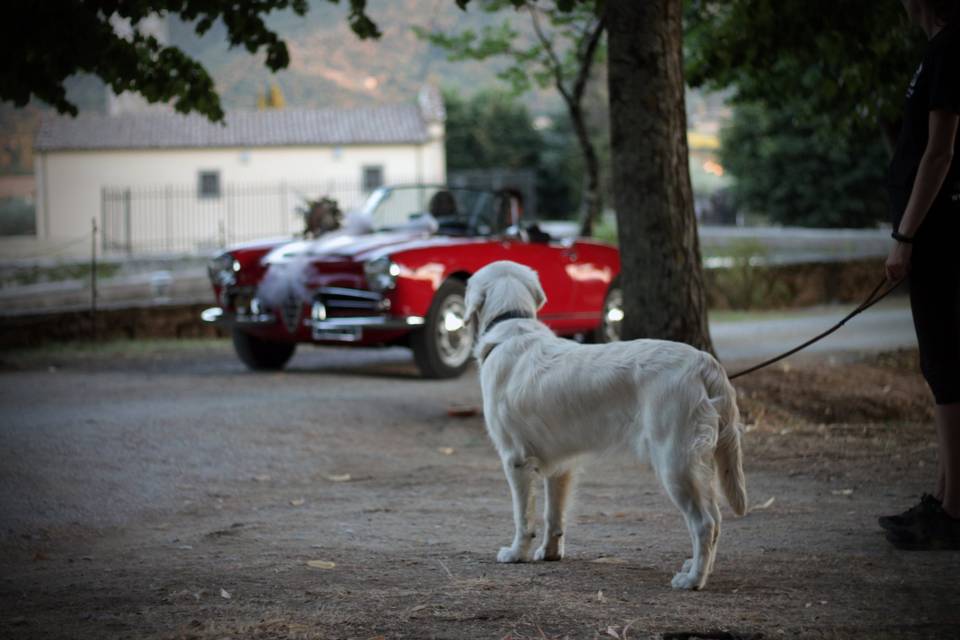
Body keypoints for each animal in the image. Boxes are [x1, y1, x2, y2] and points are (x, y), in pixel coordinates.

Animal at [464, 260, 752, 592]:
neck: (511, 327)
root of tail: (704, 362)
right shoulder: (561, 465)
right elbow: (553, 516)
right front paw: (549, 552)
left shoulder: (516, 460)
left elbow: (523, 517)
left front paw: (516, 553)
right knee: (715, 520)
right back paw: (696, 568)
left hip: (675, 462)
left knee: (705, 523)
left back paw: (692, 579)